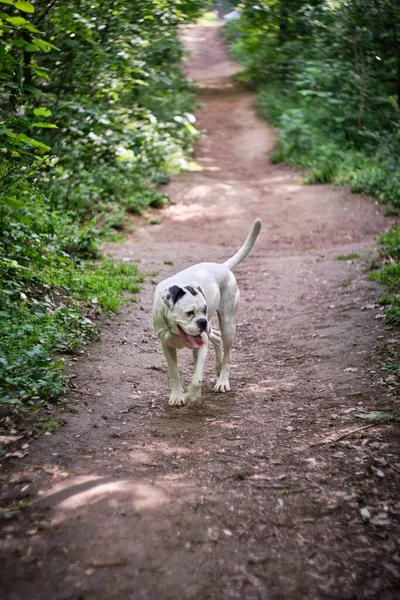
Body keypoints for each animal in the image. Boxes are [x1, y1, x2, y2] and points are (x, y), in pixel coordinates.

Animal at [152, 220, 260, 408]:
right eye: (189, 313)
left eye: (204, 309)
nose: (202, 321)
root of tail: (223, 267)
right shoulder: (167, 346)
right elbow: (174, 373)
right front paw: (177, 396)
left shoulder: (201, 345)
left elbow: (197, 378)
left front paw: (192, 396)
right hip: (212, 330)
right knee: (215, 337)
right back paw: (217, 366)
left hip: (228, 325)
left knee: (227, 354)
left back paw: (222, 380)